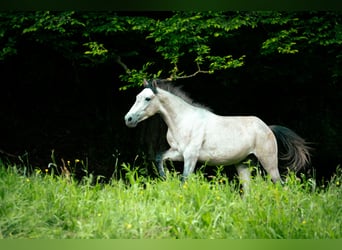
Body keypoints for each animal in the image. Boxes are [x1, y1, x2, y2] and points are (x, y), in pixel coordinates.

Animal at [124, 79, 312, 188]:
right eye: (137, 97)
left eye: (148, 98)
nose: (128, 119)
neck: (184, 121)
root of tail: (268, 128)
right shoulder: (178, 153)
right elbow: (159, 158)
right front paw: (165, 178)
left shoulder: (190, 157)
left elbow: (184, 180)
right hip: (244, 164)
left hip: (269, 162)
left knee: (281, 185)